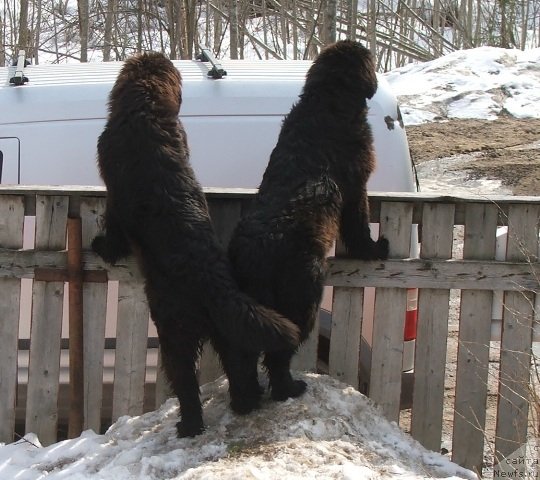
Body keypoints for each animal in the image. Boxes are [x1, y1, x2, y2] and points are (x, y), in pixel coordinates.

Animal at [89, 50, 300, 436]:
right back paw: (245, 404)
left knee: (185, 381)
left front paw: (103, 246)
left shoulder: (113, 191)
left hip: (174, 333)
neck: (144, 110)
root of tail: (212, 281)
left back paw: (189, 425)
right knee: (239, 369)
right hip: (228, 332)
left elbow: (112, 229)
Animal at [227, 39, 388, 410]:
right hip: (301, 297)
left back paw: (246, 400)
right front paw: (373, 249)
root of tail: (255, 253)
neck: (329, 102)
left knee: (241, 355)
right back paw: (288, 389)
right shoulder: (356, 184)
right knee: (278, 353)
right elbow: (358, 224)